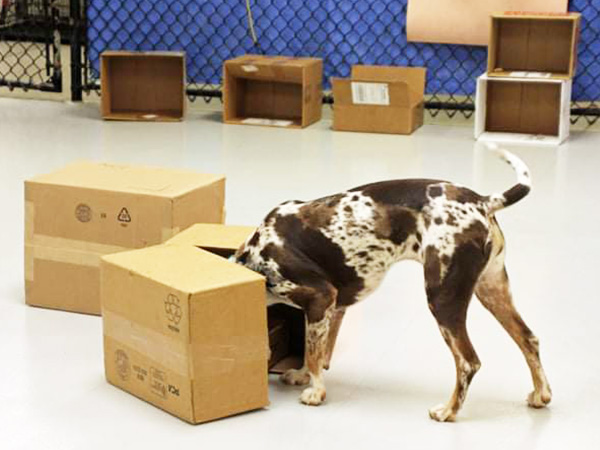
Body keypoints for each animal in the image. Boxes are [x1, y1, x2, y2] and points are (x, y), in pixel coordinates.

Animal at [232, 146, 552, 424]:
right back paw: (541, 394)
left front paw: (315, 392)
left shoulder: (321, 296)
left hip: (443, 298)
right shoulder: (335, 307)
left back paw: (448, 411)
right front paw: (301, 375)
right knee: (529, 339)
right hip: (491, 289)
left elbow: (313, 355)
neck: (255, 255)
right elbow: (317, 352)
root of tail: (483, 201)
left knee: (468, 362)